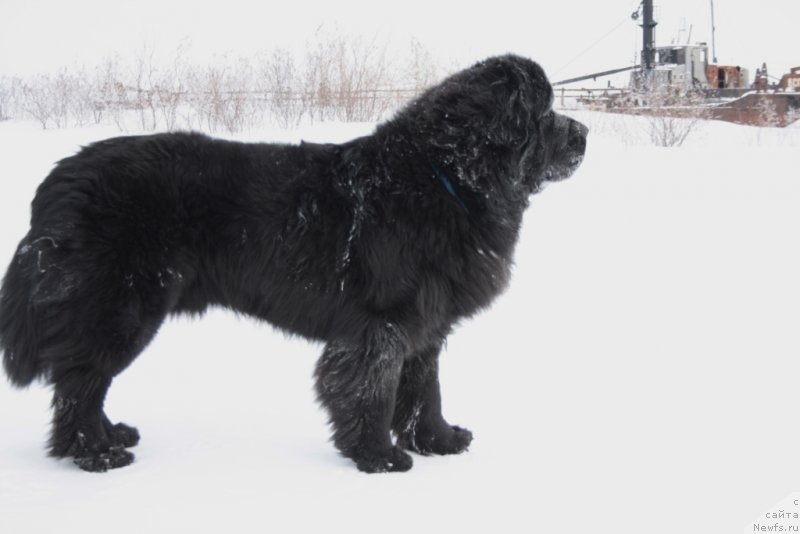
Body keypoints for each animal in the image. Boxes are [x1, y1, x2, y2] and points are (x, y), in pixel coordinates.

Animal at [0, 54, 588, 474]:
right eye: (543, 112)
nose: (584, 133)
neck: (445, 178)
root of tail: (57, 180)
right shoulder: (380, 327)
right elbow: (373, 392)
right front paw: (377, 456)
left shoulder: (427, 325)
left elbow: (426, 390)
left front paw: (438, 441)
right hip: (120, 310)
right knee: (79, 383)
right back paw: (94, 454)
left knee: (85, 380)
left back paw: (110, 436)